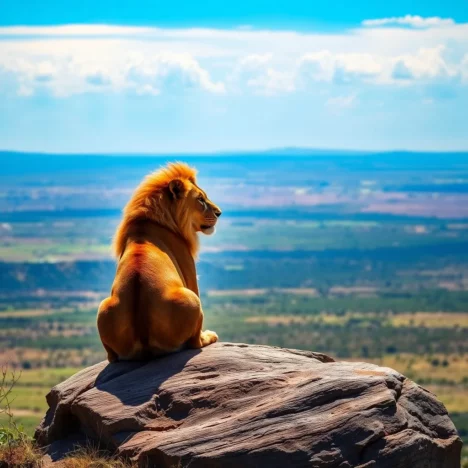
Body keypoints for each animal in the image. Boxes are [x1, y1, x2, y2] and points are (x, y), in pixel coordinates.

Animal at [96, 163, 221, 364]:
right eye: (200, 199)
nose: (219, 212)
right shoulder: (189, 272)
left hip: (103, 308)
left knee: (112, 357)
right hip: (191, 298)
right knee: (194, 342)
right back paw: (209, 336)